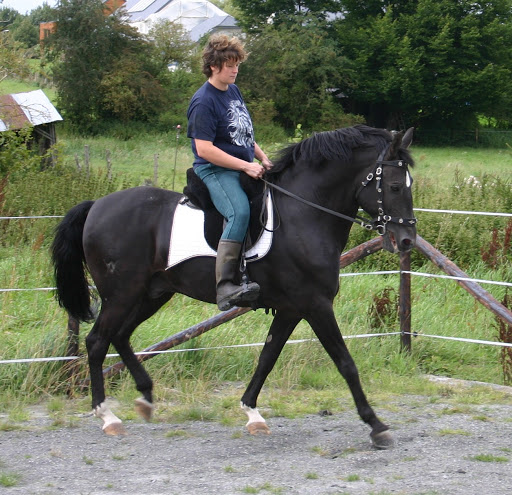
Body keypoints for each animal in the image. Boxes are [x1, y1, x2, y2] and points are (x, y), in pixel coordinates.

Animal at [51, 125, 416, 450]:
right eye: (396, 186)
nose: (407, 240)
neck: (303, 214)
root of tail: (96, 206)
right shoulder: (316, 305)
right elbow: (345, 363)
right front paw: (376, 426)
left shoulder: (292, 308)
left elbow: (267, 357)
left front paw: (252, 413)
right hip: (121, 294)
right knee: (97, 341)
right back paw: (107, 416)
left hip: (151, 294)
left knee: (121, 336)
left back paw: (146, 397)